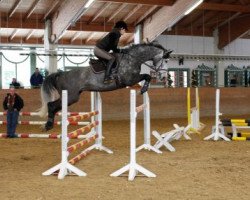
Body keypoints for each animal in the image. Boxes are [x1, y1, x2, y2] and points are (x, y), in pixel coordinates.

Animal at [38, 42, 172, 131]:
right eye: (165, 60)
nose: (164, 76)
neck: (133, 59)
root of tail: (61, 74)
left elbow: (146, 77)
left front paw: (144, 89)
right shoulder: (129, 80)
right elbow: (147, 76)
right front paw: (143, 89)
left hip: (72, 97)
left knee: (54, 107)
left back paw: (49, 125)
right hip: (71, 96)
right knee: (52, 105)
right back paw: (48, 125)